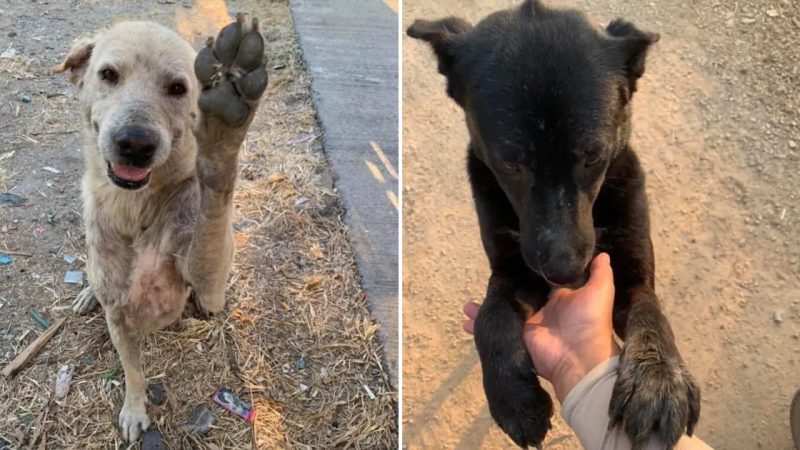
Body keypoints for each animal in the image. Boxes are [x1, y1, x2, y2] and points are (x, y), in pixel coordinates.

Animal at [410, 1, 696, 448]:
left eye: (593, 156)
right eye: (511, 164)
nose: (565, 273)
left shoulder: (632, 274)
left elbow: (651, 313)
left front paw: (658, 381)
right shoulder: (514, 272)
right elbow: (490, 317)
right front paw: (513, 397)